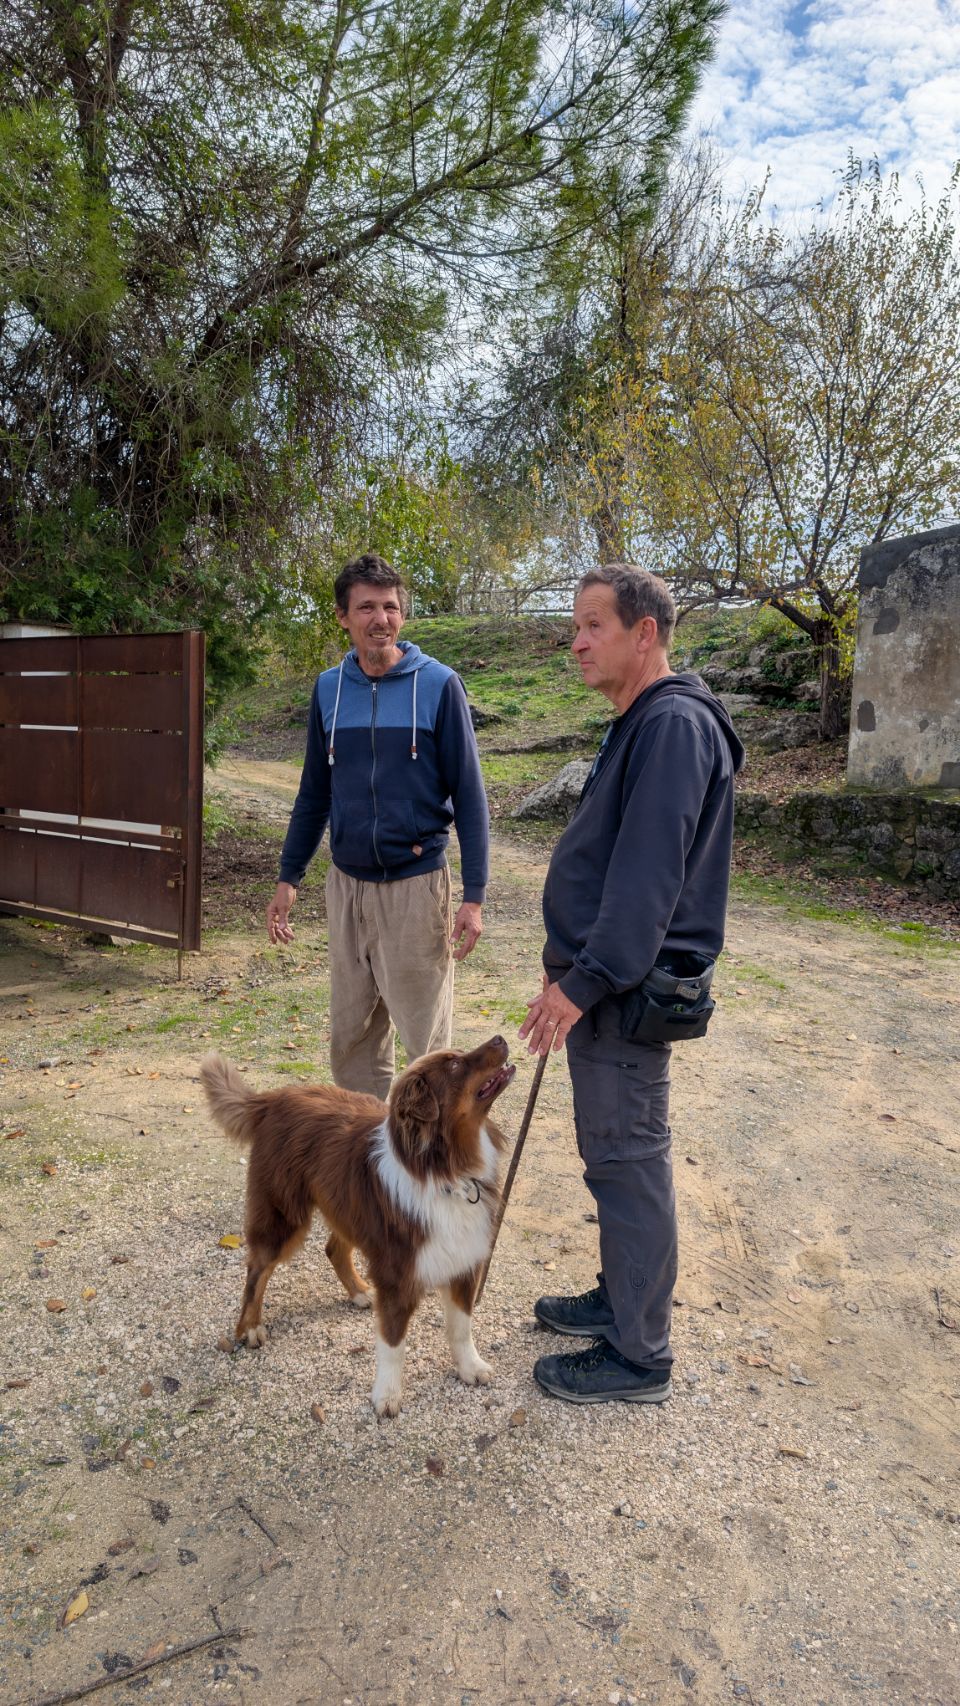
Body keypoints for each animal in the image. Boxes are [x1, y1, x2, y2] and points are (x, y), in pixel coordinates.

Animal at [198, 1036, 515, 1415]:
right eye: (454, 1065)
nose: (500, 1038)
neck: (445, 1171)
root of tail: (272, 1099)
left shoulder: (464, 1260)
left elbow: (462, 1328)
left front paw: (470, 1367)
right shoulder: (397, 1273)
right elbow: (393, 1344)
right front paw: (387, 1395)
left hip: (348, 1208)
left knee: (333, 1248)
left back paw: (359, 1292)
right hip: (283, 1219)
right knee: (257, 1270)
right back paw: (250, 1327)